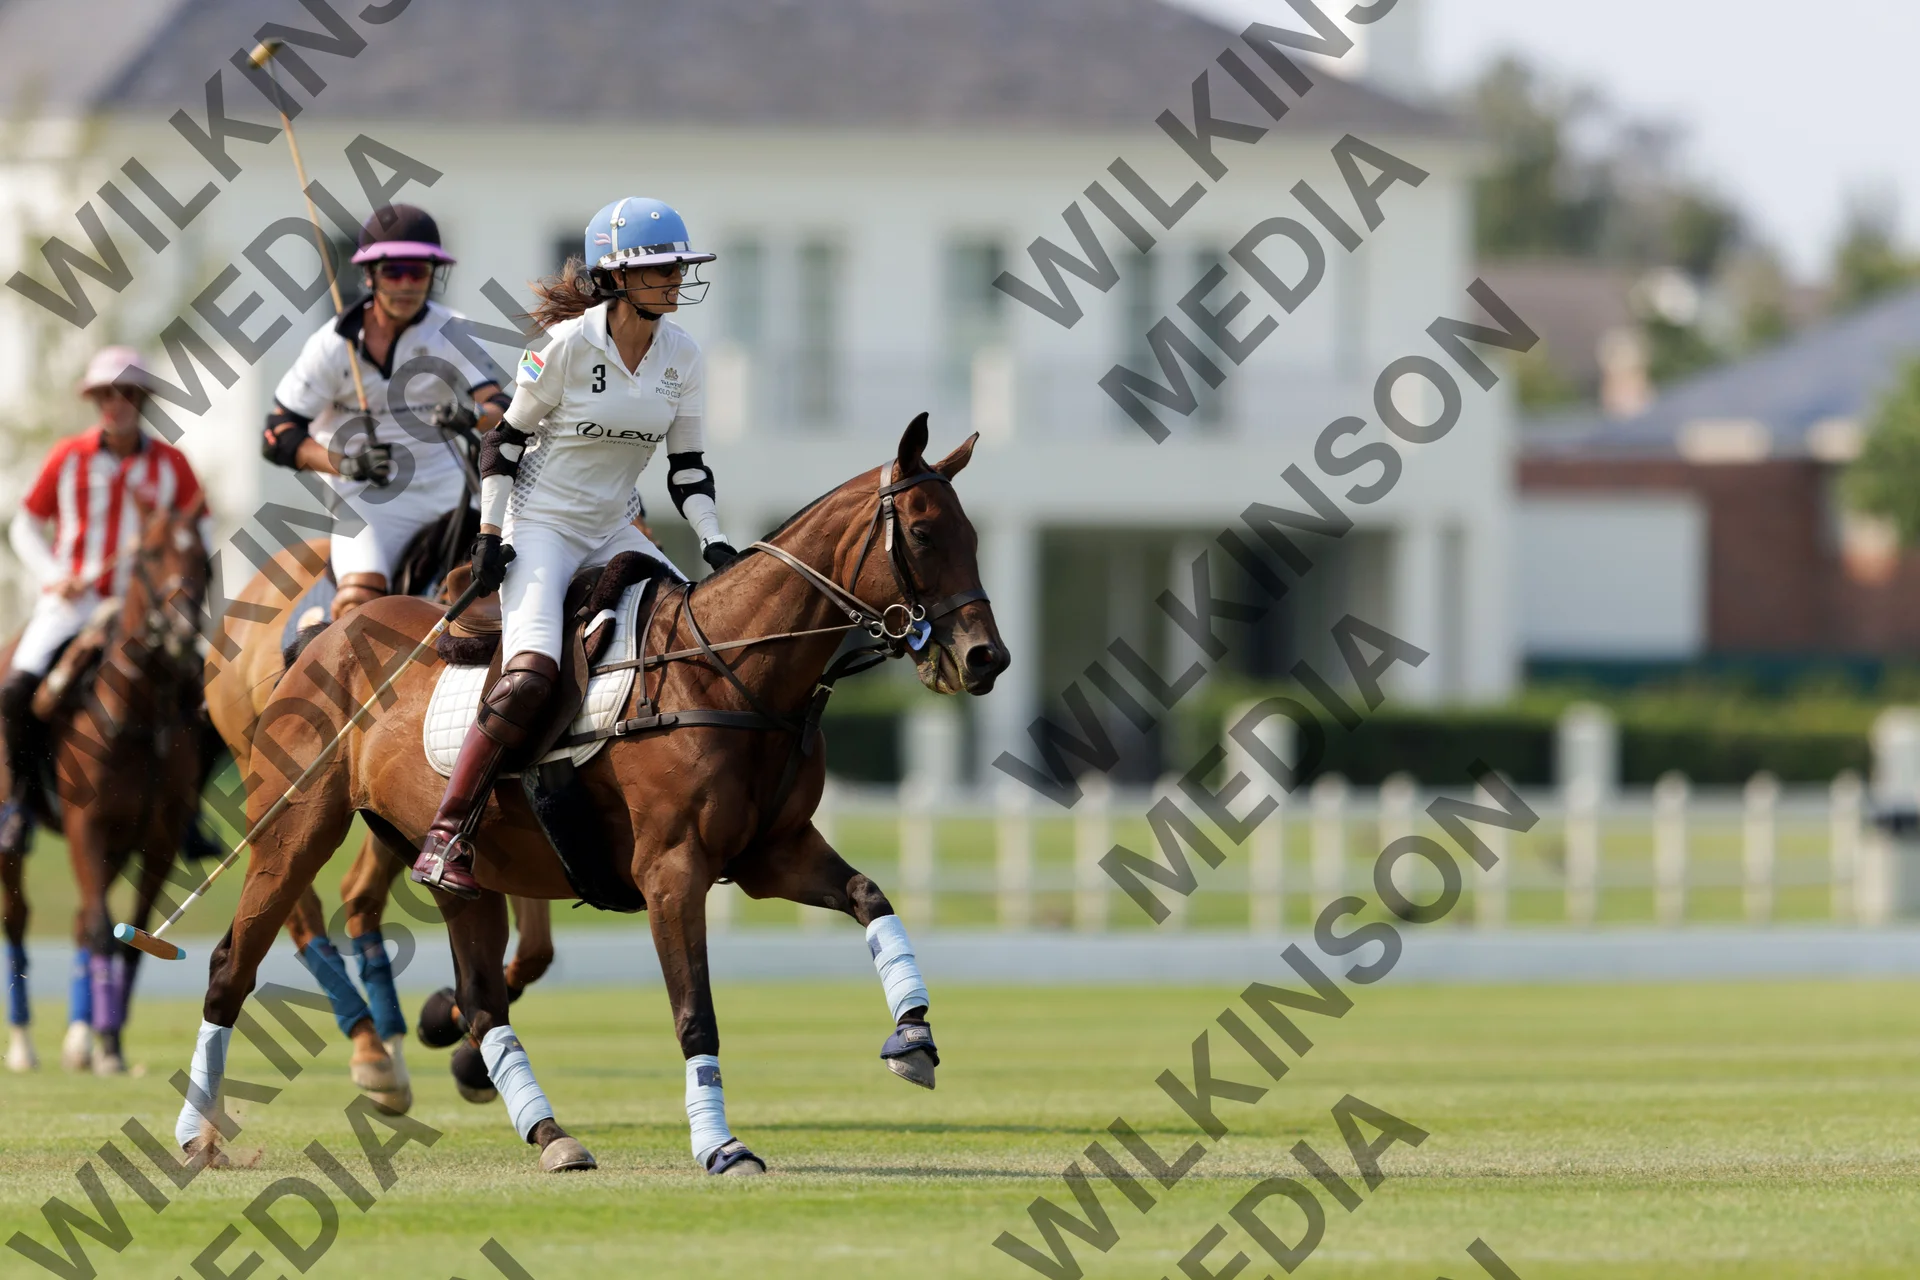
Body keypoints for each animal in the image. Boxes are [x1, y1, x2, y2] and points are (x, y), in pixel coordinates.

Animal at [2, 503, 209, 1073]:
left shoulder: (158, 839)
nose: (183, 631)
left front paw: (110, 1043)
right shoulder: (86, 826)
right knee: (18, 917)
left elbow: (131, 935)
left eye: (204, 557)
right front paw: (106, 1048)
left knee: (78, 922)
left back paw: (79, 1040)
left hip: (117, 847)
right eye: (151, 553)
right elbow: (103, 928)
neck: (136, 715)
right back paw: (24, 1044)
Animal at [203, 513, 558, 1114]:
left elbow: (534, 948)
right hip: (273, 779)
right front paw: (449, 1030)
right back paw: (372, 1049)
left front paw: (463, 1044)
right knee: (308, 906)